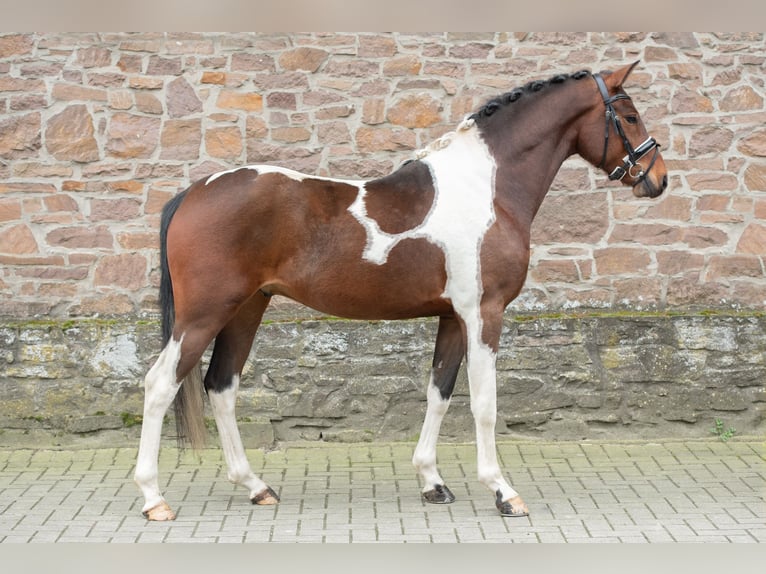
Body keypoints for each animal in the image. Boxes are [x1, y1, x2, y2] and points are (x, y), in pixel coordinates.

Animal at [135, 62, 668, 520]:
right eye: (630, 115)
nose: (658, 180)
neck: (486, 187)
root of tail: (195, 191)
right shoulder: (484, 312)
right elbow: (485, 403)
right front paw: (503, 492)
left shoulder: (452, 316)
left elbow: (440, 393)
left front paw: (432, 482)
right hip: (204, 314)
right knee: (161, 384)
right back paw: (154, 499)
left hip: (246, 309)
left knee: (221, 385)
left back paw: (256, 486)